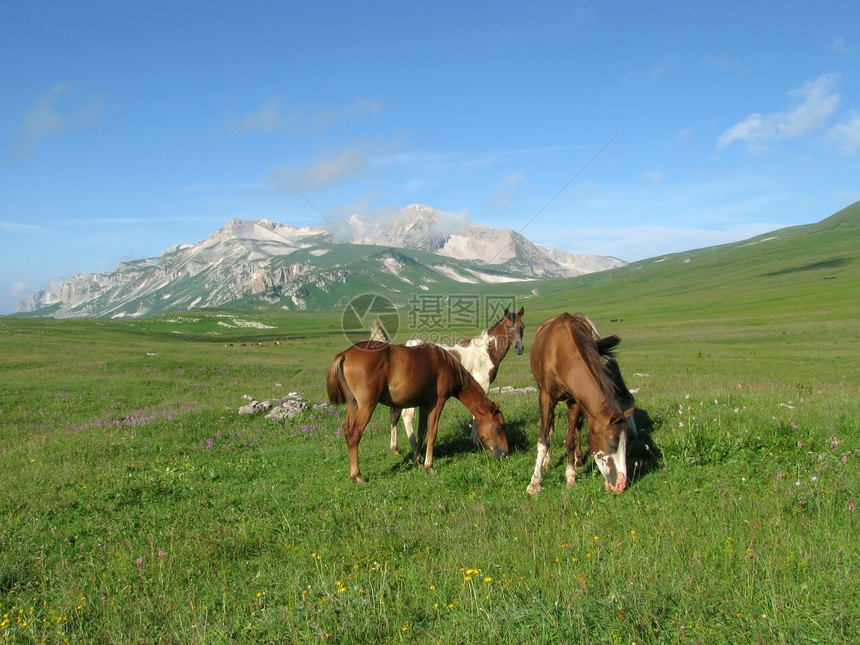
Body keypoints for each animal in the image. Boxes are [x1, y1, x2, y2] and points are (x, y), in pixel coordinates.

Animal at [326, 340, 508, 480]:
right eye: (499, 427)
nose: (506, 453)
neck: (445, 365)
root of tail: (345, 354)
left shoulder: (424, 405)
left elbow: (422, 432)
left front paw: (417, 461)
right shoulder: (437, 402)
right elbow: (432, 433)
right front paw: (429, 465)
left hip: (353, 405)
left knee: (348, 432)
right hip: (366, 406)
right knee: (354, 435)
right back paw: (357, 475)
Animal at [390, 306, 524, 452]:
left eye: (522, 326)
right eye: (508, 326)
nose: (519, 349)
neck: (485, 353)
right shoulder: (483, 385)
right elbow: (477, 414)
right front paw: (475, 441)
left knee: (395, 415)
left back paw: (395, 448)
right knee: (407, 416)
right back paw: (414, 448)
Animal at [524, 312, 632, 494]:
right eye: (612, 443)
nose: (621, 485)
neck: (561, 355)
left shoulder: (575, 401)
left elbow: (571, 439)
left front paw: (571, 476)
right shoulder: (546, 397)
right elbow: (544, 439)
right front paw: (535, 482)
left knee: (578, 428)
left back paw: (578, 460)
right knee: (550, 426)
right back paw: (547, 461)